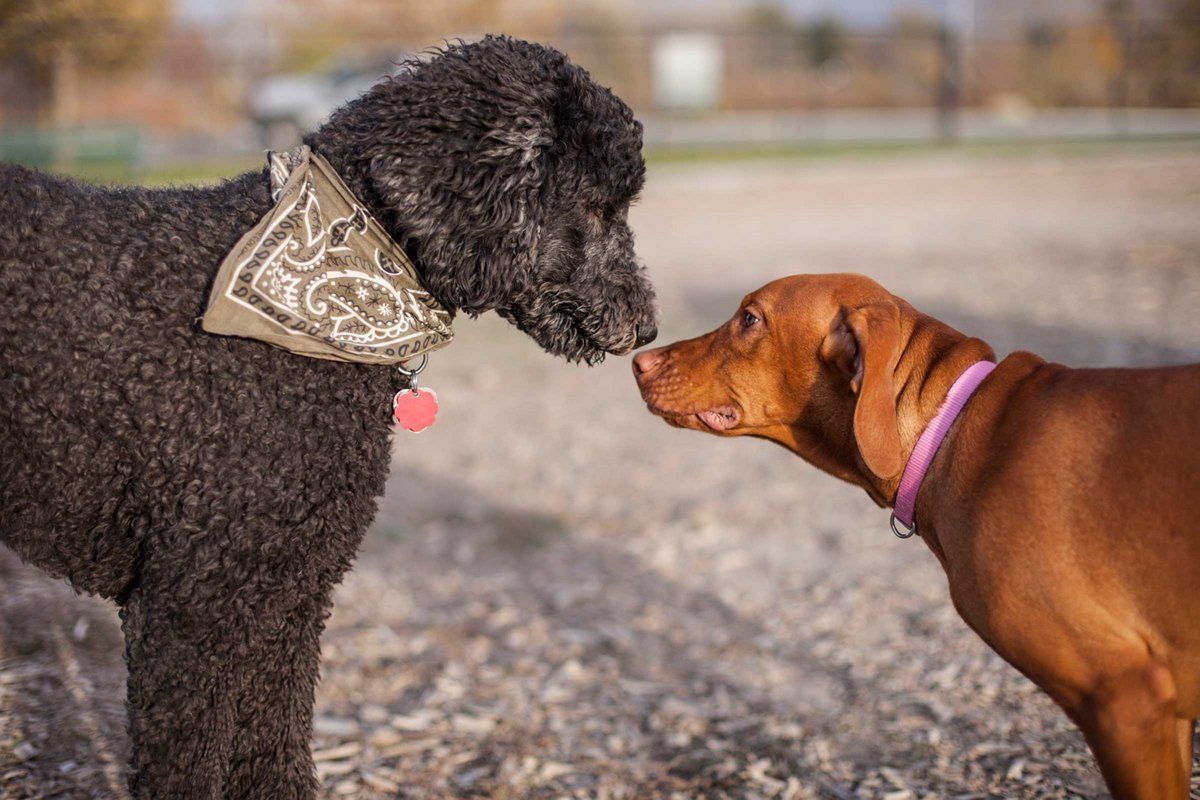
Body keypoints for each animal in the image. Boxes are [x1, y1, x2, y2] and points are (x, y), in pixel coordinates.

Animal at [0, 38, 657, 800]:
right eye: (595, 205)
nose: (647, 327)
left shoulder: (288, 592)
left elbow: (276, 746)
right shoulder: (192, 603)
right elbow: (188, 760)